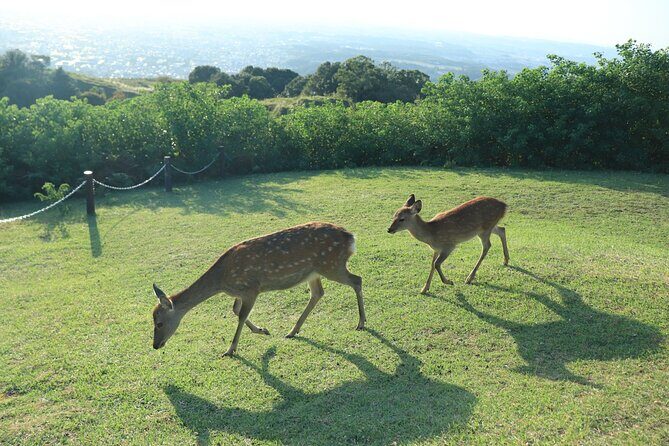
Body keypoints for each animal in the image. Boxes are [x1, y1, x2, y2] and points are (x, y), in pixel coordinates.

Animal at [151, 222, 365, 357]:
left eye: (159, 323)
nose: (155, 345)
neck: (221, 280)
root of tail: (350, 237)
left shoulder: (251, 288)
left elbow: (241, 315)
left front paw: (230, 350)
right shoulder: (240, 292)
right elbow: (236, 310)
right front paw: (262, 330)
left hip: (331, 265)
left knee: (357, 280)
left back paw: (361, 323)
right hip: (314, 272)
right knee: (318, 293)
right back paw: (293, 330)